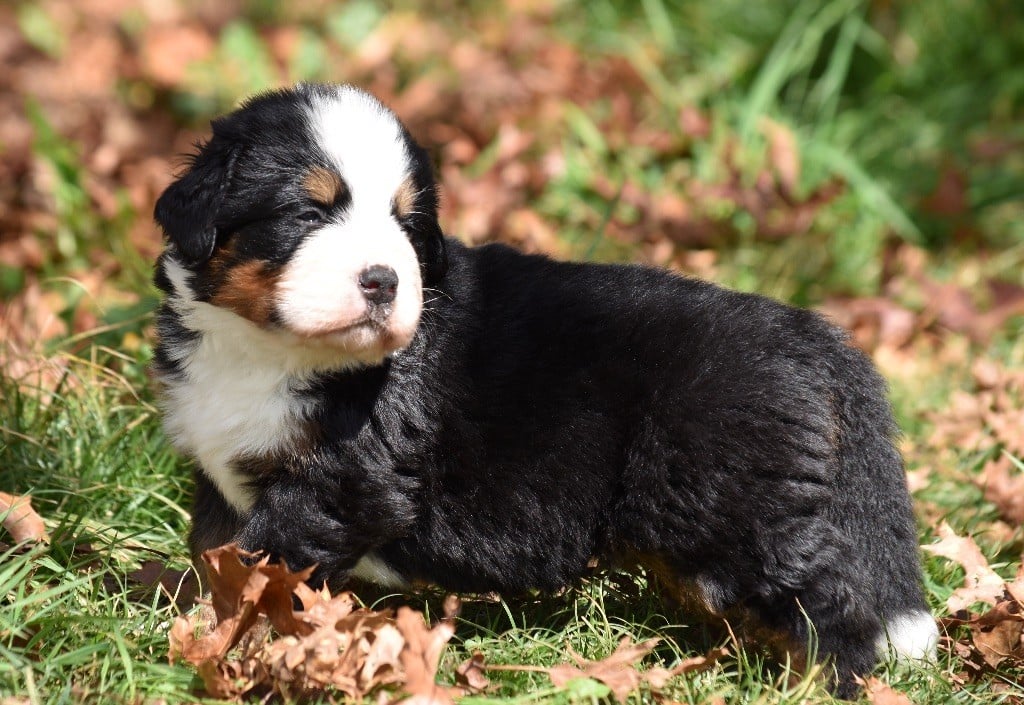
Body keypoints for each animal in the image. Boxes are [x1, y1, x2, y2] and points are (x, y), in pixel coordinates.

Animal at [151, 85, 937, 696]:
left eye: (407, 225)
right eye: (308, 212)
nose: (384, 280)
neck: (267, 350)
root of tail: (815, 335)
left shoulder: (346, 479)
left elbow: (261, 565)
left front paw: (218, 643)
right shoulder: (222, 481)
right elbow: (216, 558)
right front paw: (188, 622)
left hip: (736, 506)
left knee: (831, 605)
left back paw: (814, 686)